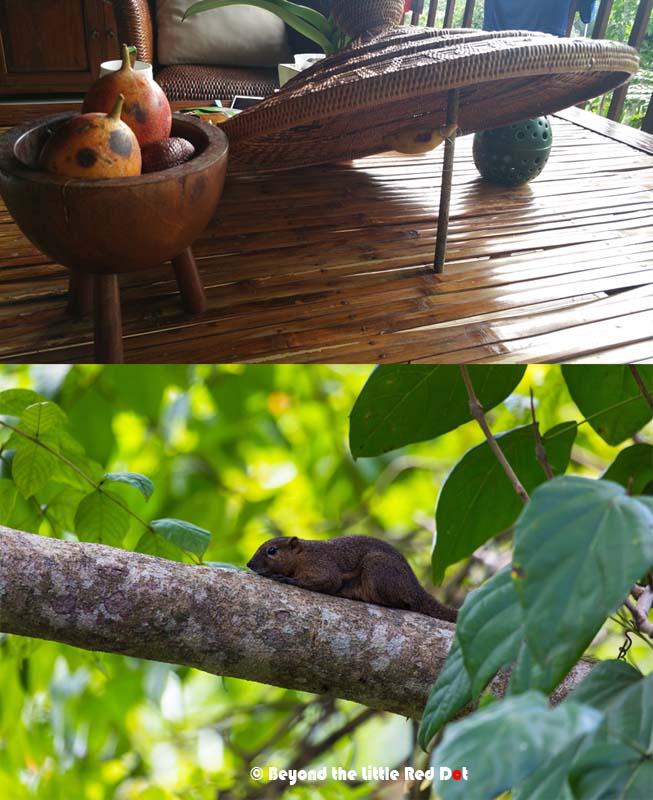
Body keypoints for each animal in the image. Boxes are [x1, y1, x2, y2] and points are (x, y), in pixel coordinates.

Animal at [247, 535, 457, 623]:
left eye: (272, 551)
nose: (249, 564)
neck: (302, 556)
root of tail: (415, 588)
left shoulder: (321, 566)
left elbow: (327, 581)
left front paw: (285, 578)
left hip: (377, 568)